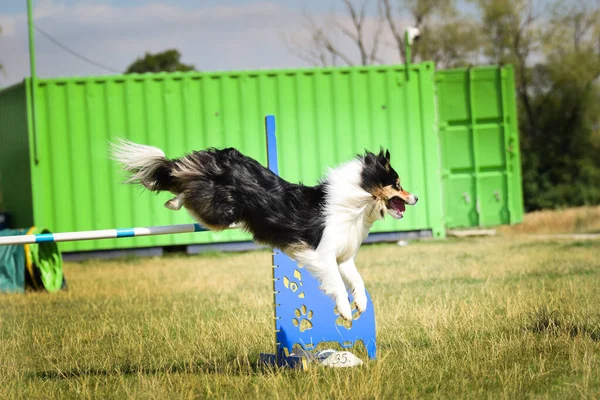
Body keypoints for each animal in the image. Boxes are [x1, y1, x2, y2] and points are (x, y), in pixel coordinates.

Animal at [110, 141, 418, 322]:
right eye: (397, 184)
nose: (416, 198)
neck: (356, 201)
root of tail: (219, 158)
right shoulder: (323, 255)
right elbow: (338, 286)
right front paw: (345, 311)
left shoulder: (343, 257)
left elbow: (358, 281)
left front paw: (361, 305)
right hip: (220, 213)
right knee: (184, 185)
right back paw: (172, 200)